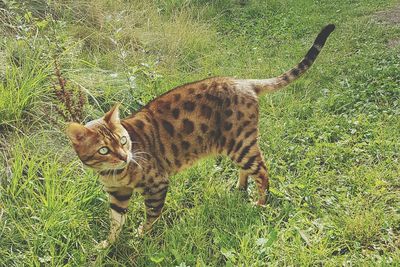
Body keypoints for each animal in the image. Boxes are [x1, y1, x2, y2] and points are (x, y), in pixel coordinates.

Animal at [67, 24, 336, 248]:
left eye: (123, 141)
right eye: (104, 149)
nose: (124, 157)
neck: (113, 174)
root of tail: (244, 82)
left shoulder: (156, 184)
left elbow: (152, 215)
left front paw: (142, 235)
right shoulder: (117, 195)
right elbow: (115, 222)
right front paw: (107, 245)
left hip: (241, 144)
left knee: (262, 171)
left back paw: (260, 205)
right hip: (236, 145)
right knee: (249, 170)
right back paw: (239, 189)